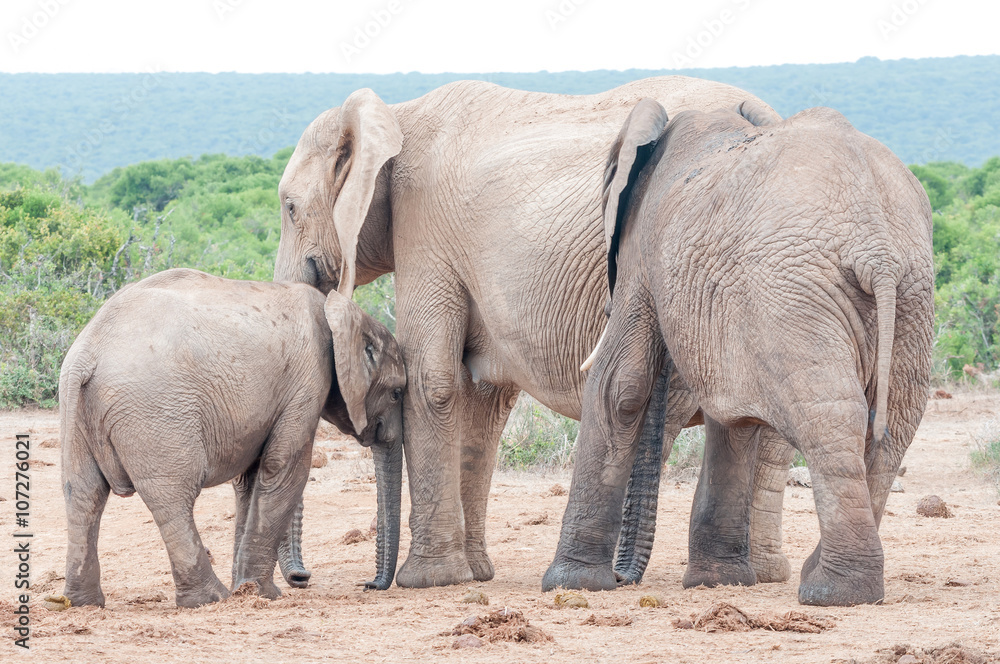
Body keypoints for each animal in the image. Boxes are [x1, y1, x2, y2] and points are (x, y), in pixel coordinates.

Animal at [57, 268, 406, 608]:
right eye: (397, 393)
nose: (369, 585)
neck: (338, 312)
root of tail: (86, 354)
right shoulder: (308, 381)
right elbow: (284, 469)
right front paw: (264, 594)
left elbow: (250, 480)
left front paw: (246, 590)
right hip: (154, 412)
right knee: (173, 497)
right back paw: (210, 599)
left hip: (77, 410)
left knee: (84, 494)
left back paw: (84, 603)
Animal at [272, 77, 806, 588]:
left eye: (291, 208)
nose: (304, 579)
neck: (395, 114)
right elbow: (484, 401)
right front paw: (475, 574)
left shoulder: (423, 228)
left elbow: (433, 380)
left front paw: (428, 580)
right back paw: (759, 574)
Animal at [543, 99, 934, 606]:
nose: (624, 578)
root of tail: (878, 254)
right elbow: (733, 416)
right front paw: (718, 582)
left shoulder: (643, 250)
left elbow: (619, 386)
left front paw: (570, 584)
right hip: (908, 291)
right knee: (893, 424)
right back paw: (831, 581)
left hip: (796, 290)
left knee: (832, 414)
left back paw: (832, 592)